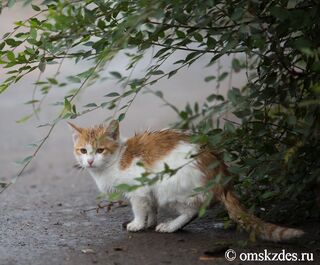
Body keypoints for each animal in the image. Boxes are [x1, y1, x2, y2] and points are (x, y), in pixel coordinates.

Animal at [69, 119, 304, 241]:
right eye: (83, 150)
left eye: (100, 150)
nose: (89, 161)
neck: (116, 159)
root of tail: (221, 171)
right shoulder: (148, 193)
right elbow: (151, 208)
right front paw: (149, 221)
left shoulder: (140, 191)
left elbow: (140, 208)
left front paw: (138, 224)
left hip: (169, 187)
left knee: (192, 211)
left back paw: (171, 226)